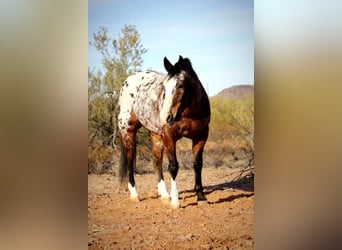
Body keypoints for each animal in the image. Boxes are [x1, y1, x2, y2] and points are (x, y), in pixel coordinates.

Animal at [117, 55, 210, 208]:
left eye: (181, 85)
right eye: (164, 87)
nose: (166, 117)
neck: (188, 113)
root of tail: (128, 80)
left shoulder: (201, 137)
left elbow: (197, 165)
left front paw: (201, 197)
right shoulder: (169, 137)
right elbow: (173, 167)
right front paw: (176, 202)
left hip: (156, 135)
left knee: (156, 161)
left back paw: (165, 195)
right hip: (128, 133)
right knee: (130, 162)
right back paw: (135, 195)